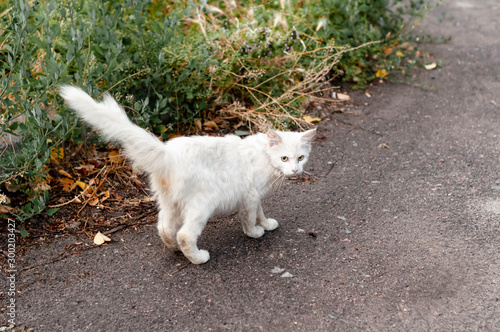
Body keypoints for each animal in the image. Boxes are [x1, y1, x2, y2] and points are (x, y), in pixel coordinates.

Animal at [59, 86, 316, 264]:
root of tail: (167, 152)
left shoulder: (252, 196)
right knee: (185, 234)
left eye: (301, 158)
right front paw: (255, 233)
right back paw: (197, 257)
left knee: (164, 228)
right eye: (284, 158)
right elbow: (250, 218)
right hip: (202, 204)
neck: (264, 155)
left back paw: (174, 248)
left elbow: (260, 213)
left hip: (170, 203)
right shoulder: (251, 194)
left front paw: (266, 224)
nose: (296, 170)